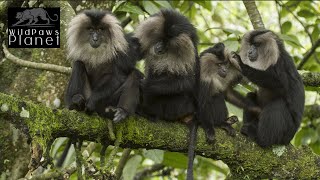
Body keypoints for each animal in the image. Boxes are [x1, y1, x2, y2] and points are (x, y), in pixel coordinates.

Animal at [134, 9, 199, 180]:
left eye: (168, 43)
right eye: (160, 38)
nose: (159, 47)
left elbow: (187, 82)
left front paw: (145, 85)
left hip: (176, 106)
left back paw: (147, 112)